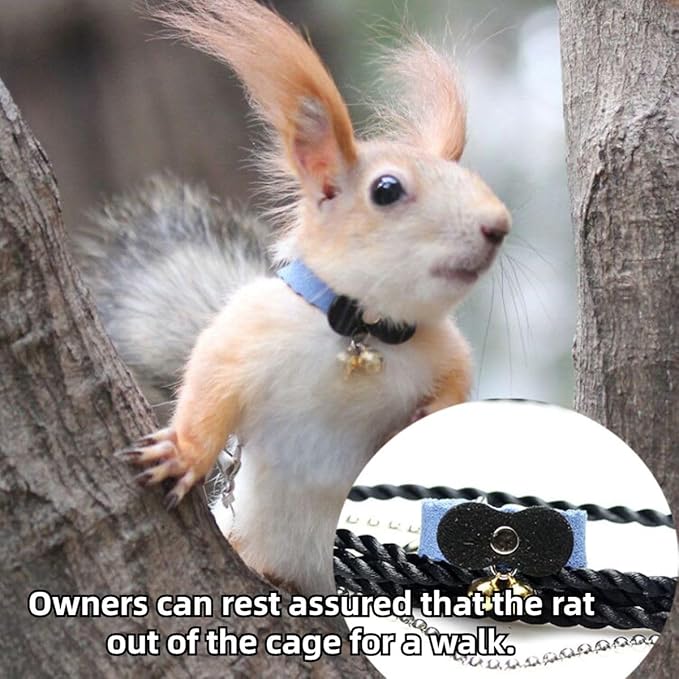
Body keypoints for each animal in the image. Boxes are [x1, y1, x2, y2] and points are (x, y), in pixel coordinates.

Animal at [75, 0, 510, 595]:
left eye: (472, 177)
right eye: (387, 190)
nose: (498, 226)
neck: (361, 333)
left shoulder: (446, 352)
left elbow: (456, 388)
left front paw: (428, 418)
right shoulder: (245, 334)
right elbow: (209, 389)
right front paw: (183, 454)